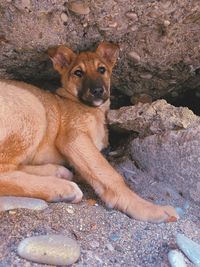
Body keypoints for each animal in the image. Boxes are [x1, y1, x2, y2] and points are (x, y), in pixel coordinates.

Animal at [0, 42, 178, 223]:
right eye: (78, 73)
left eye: (102, 69)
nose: (97, 90)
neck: (90, 109)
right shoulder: (74, 138)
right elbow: (110, 174)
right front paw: (147, 208)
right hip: (33, 107)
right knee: (4, 171)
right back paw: (61, 189)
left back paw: (57, 172)